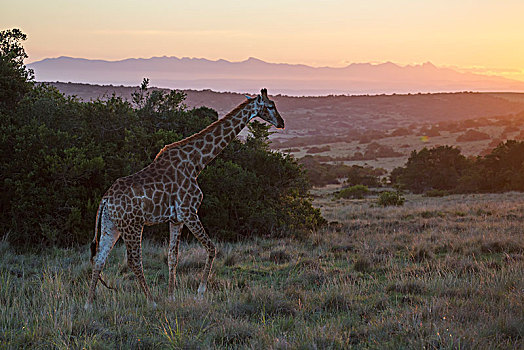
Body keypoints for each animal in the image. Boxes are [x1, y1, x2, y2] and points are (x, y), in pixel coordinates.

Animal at [84, 88, 284, 308]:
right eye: (270, 106)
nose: (281, 122)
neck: (197, 162)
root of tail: (105, 200)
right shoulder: (189, 211)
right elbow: (212, 249)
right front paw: (200, 292)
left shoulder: (176, 218)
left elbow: (173, 257)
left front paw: (171, 296)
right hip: (133, 226)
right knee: (133, 261)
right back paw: (151, 301)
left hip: (111, 225)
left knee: (100, 258)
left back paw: (89, 304)